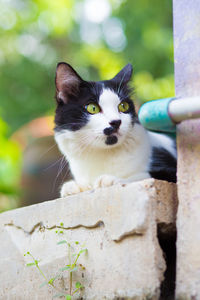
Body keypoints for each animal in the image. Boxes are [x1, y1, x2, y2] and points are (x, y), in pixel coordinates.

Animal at [53, 62, 177, 197]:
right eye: (92, 108)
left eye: (123, 106)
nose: (116, 122)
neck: (102, 154)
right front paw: (75, 187)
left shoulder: (170, 169)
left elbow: (142, 175)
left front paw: (110, 179)